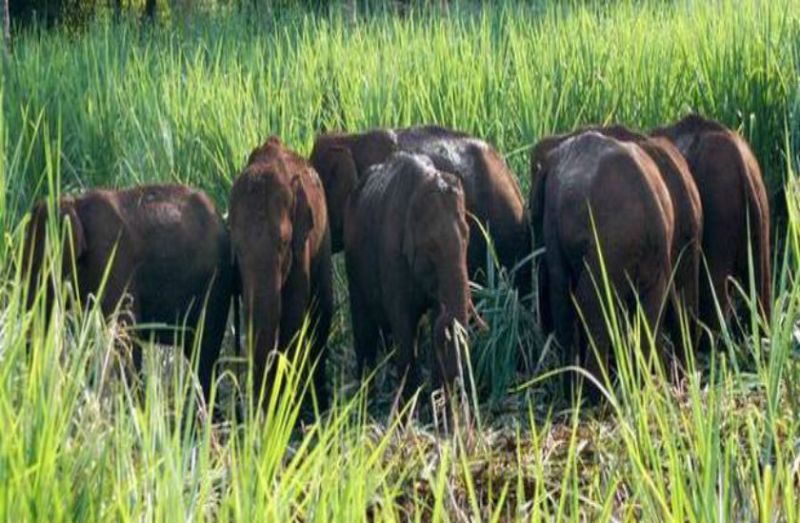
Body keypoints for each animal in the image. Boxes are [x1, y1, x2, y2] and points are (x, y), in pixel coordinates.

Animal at [22, 184, 235, 402]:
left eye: (38, 267)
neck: (75, 204)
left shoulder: (112, 257)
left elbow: (125, 334)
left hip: (215, 284)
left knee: (205, 352)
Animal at [229, 136, 333, 411]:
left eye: (284, 243)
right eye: (237, 249)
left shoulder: (301, 244)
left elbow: (293, 314)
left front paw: (288, 410)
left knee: (323, 308)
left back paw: (320, 401)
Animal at [343, 151, 477, 400]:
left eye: (468, 237)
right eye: (431, 246)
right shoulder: (391, 253)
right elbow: (402, 320)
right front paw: (409, 403)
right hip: (353, 263)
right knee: (364, 327)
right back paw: (367, 399)